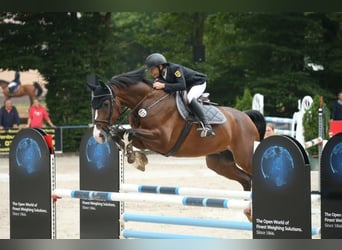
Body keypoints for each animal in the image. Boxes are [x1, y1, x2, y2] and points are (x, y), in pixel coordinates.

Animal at [87, 67, 266, 190]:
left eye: (105, 104)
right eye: (93, 105)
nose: (97, 135)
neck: (146, 102)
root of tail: (246, 117)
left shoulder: (162, 140)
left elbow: (129, 132)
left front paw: (134, 157)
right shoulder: (146, 140)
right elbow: (122, 133)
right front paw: (134, 156)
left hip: (244, 156)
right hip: (219, 162)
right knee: (246, 180)